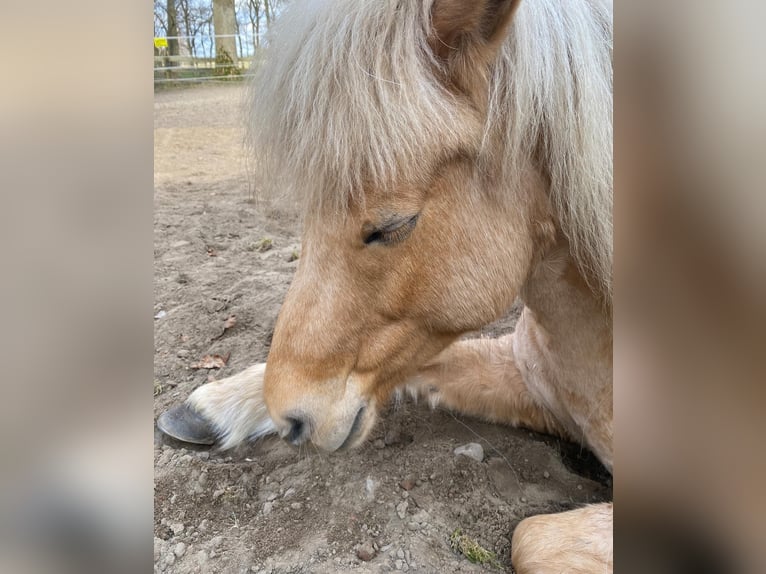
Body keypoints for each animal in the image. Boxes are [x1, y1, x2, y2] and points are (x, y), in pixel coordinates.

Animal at [158, 0, 613, 571]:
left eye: (394, 225)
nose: (292, 420)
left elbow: (532, 537)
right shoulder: (530, 383)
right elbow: (426, 366)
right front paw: (215, 405)